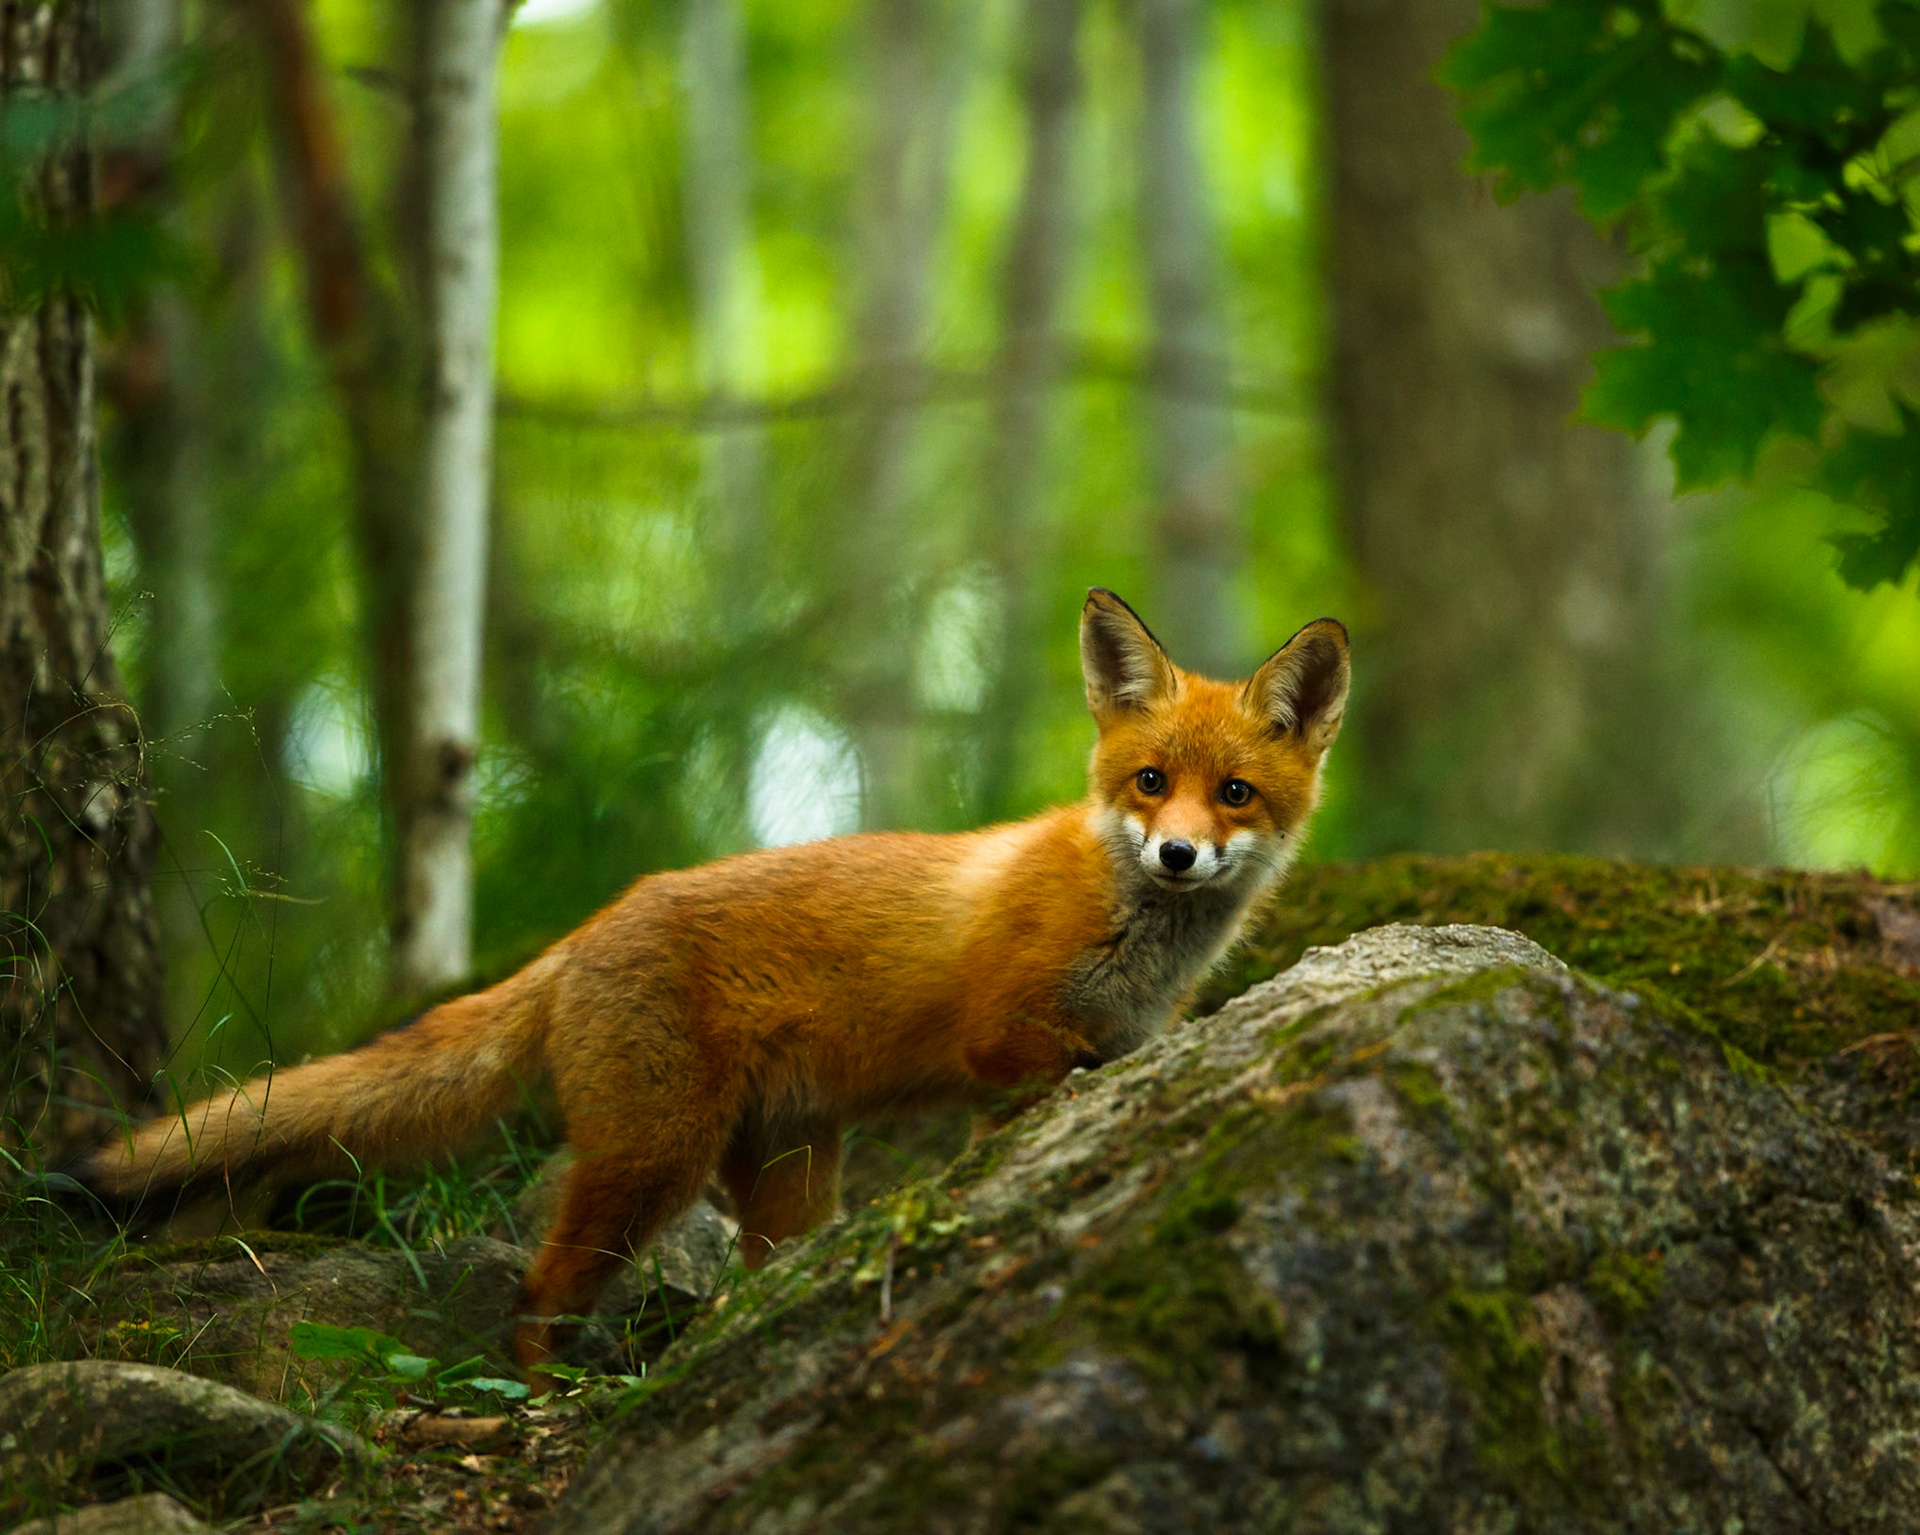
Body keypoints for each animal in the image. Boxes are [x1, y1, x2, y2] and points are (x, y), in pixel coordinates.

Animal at [79, 589, 1349, 1383]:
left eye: (1235, 793)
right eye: (1150, 780)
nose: (1177, 854)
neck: (1137, 928)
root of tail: (587, 930)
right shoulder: (999, 1038)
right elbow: (1051, 1060)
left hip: (785, 1177)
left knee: (745, 1282)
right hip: (653, 1159)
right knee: (536, 1292)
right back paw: (547, 1398)